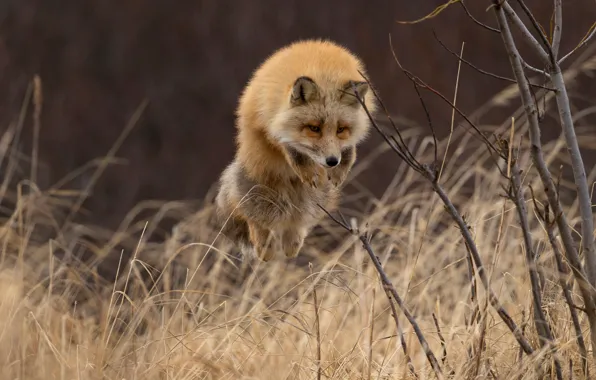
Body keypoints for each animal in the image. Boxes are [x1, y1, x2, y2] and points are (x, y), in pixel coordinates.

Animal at [214, 40, 374, 262]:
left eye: (341, 129)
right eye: (314, 128)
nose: (332, 161)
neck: (323, 70)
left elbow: (350, 150)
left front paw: (340, 170)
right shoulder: (271, 123)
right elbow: (293, 151)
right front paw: (308, 169)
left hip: (313, 201)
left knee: (295, 222)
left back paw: (291, 244)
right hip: (259, 190)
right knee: (255, 219)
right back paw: (265, 249)